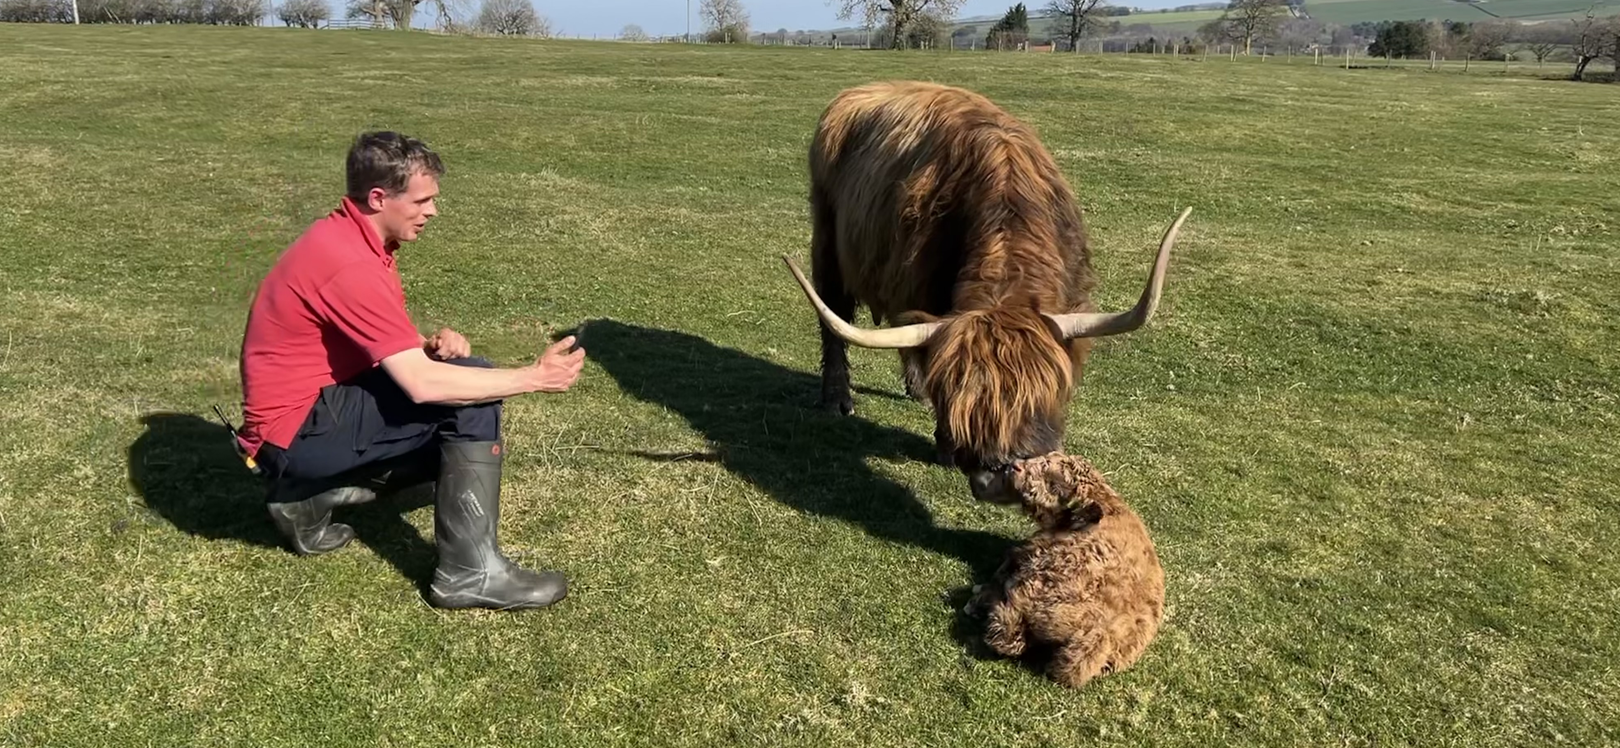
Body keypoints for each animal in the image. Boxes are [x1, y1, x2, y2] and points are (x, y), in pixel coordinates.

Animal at [780, 80, 1192, 501]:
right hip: (829, 242)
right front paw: (945, 443)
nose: (1000, 476)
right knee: (834, 315)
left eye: (1041, 392)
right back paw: (838, 399)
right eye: (963, 398)